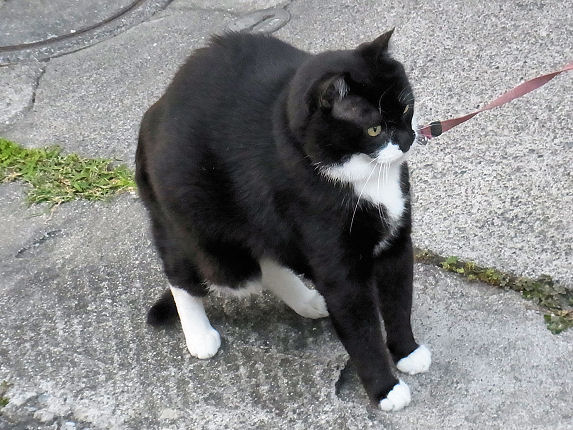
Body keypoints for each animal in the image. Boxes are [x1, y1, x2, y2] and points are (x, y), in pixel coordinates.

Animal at [135, 29, 431, 411]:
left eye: (406, 107)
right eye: (374, 129)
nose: (408, 139)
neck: (366, 179)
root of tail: (156, 109)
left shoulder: (396, 243)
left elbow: (398, 302)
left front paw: (407, 351)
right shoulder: (341, 272)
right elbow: (362, 332)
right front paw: (385, 389)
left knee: (268, 256)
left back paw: (307, 301)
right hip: (205, 241)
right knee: (186, 271)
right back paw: (199, 335)